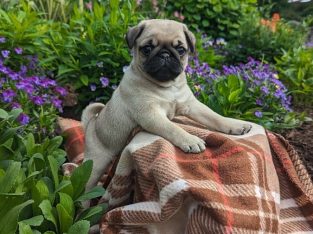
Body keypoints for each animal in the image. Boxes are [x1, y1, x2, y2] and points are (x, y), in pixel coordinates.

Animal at [82, 19, 251, 191]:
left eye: (181, 50)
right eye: (147, 49)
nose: (165, 54)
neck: (167, 86)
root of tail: (91, 123)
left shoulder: (191, 105)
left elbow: (214, 116)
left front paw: (236, 124)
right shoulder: (151, 114)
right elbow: (173, 128)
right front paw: (190, 140)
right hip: (95, 164)